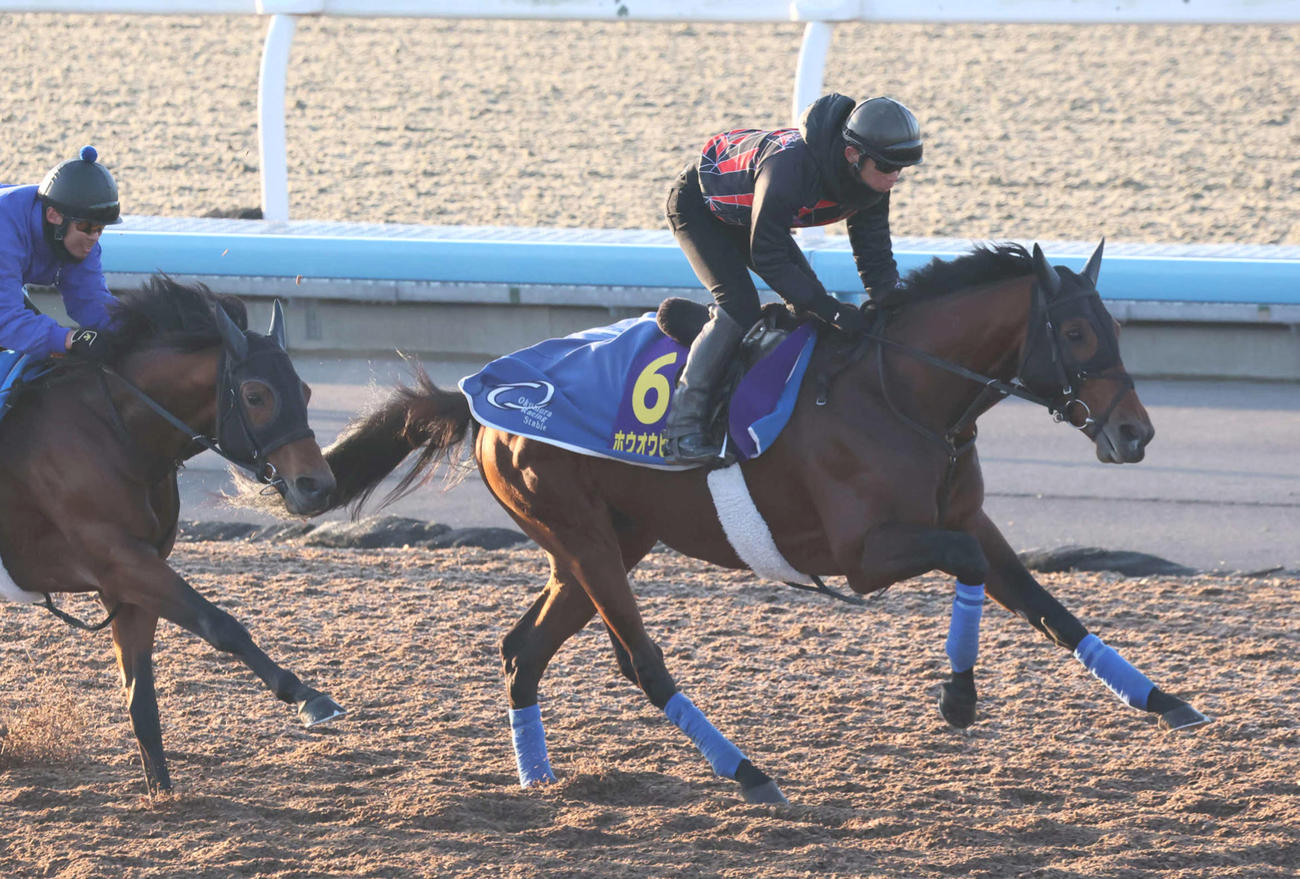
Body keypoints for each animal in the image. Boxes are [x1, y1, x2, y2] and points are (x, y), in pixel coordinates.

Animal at [0, 277, 344, 795]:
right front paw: (309, 697)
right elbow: (221, 624)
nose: (317, 486)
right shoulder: (120, 557)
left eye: (304, 390)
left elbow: (140, 696)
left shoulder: (128, 579)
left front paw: (162, 794)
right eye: (256, 394)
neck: (114, 432)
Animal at [321, 241, 1208, 804]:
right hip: (582, 537)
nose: (1135, 432)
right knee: (640, 663)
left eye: (1115, 327)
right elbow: (967, 564)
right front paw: (957, 696)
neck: (902, 389)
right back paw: (750, 773)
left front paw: (1164, 699)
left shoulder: (965, 514)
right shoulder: (867, 553)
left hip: (605, 541)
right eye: (1076, 330)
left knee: (523, 649)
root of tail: (481, 392)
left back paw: (538, 778)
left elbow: (1042, 602)